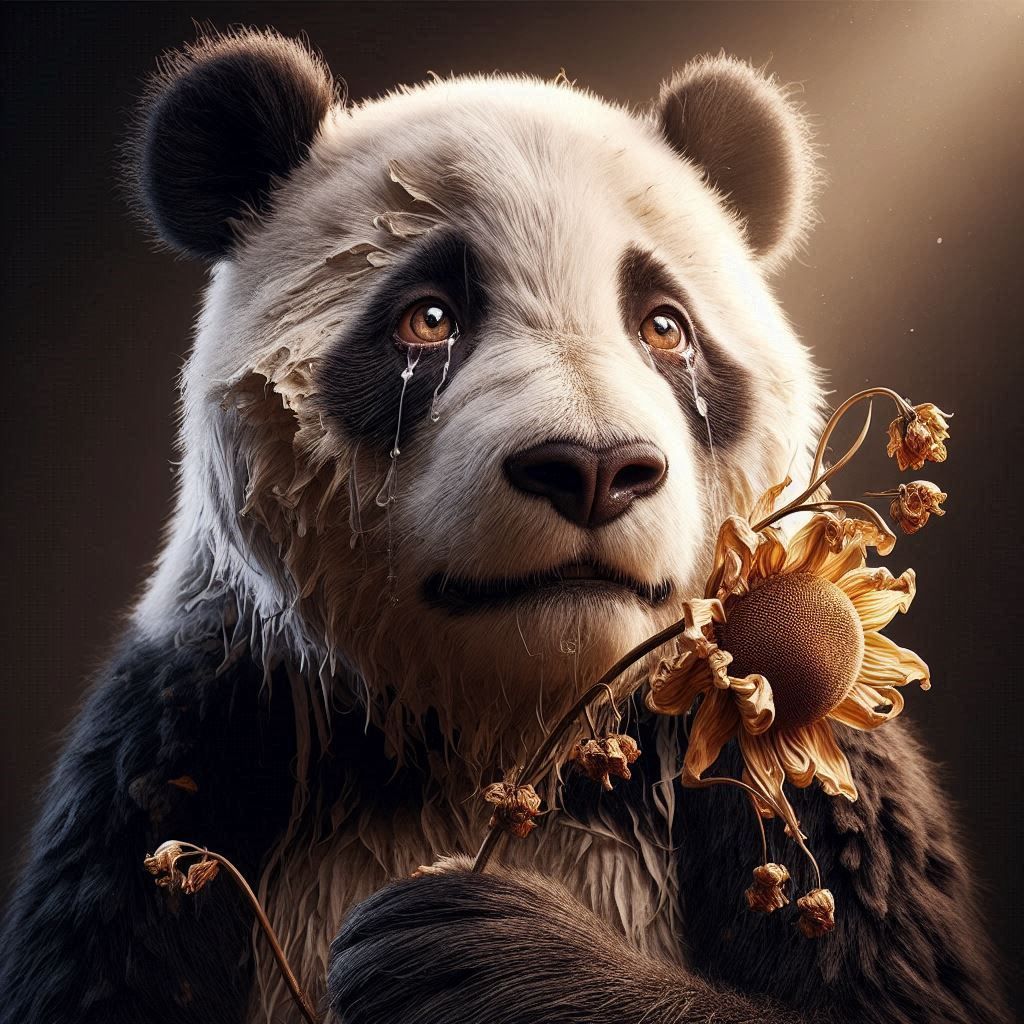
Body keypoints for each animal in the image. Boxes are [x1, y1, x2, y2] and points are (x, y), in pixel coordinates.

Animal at [0, 27, 1009, 1024]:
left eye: (665, 327)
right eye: (427, 318)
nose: (595, 470)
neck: (502, 729)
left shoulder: (818, 775)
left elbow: (895, 984)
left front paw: (471, 953)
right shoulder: (192, 738)